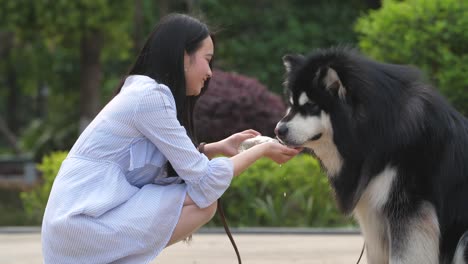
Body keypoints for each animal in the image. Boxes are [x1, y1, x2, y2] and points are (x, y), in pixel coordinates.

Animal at [274, 47, 468, 264]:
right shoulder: (373, 217)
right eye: (292, 104)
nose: (278, 130)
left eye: (310, 106)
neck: (374, 131)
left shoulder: (409, 212)